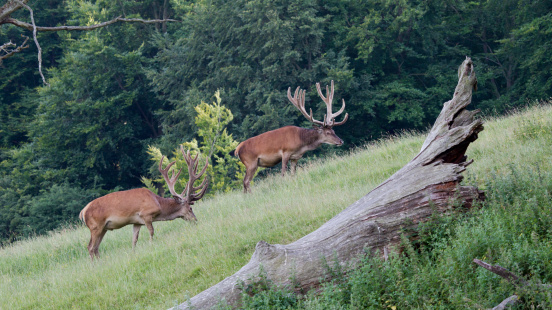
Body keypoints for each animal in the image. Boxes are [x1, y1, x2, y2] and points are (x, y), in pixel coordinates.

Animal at [77, 145, 207, 260]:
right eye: (190, 208)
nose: (195, 220)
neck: (158, 204)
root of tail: (83, 212)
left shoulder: (136, 222)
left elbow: (134, 240)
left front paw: (133, 253)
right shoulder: (146, 214)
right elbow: (151, 232)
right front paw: (151, 245)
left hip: (103, 228)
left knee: (96, 248)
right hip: (95, 226)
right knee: (90, 247)